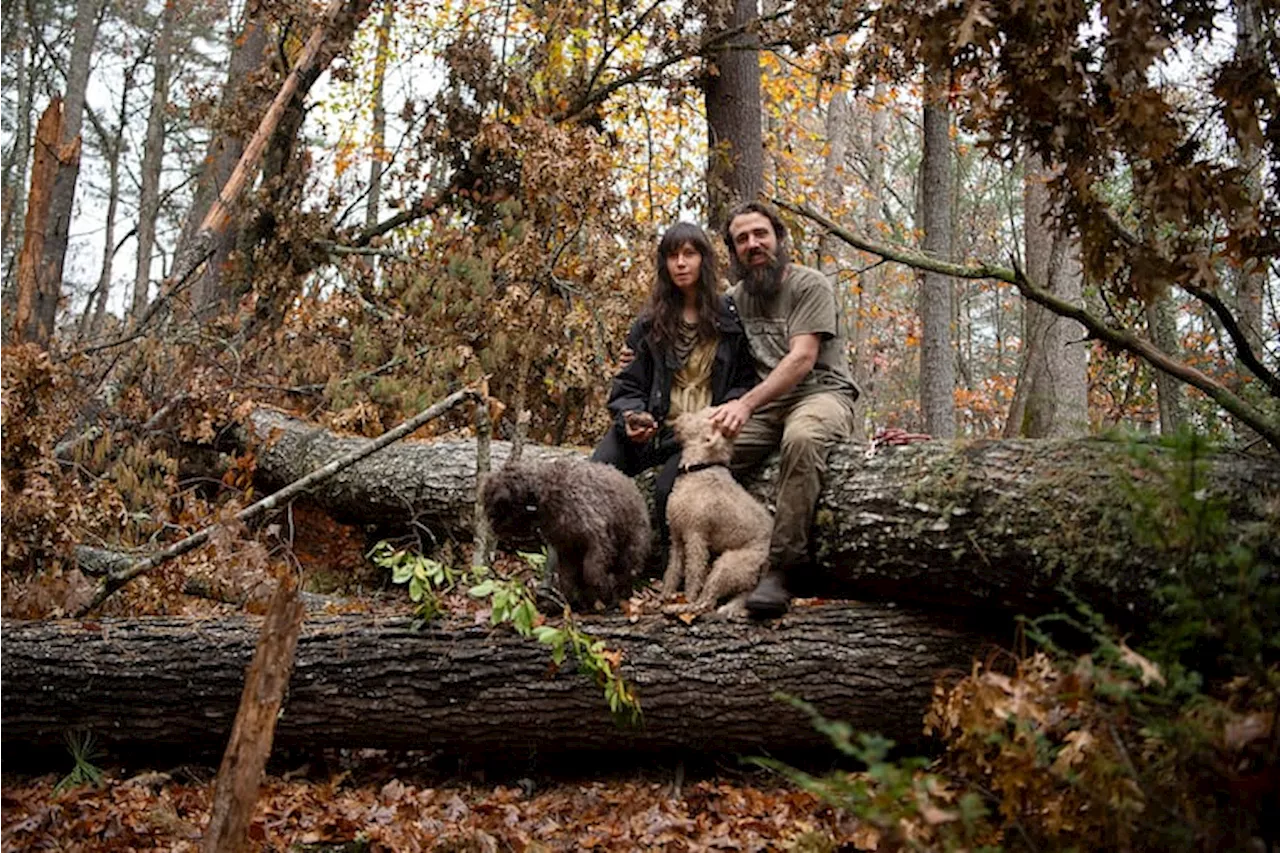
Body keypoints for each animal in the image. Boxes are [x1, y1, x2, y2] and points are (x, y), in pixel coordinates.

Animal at [481, 455, 650, 607]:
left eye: (498, 509)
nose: (491, 528)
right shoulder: (566, 546)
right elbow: (567, 577)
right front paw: (571, 599)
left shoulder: (597, 539)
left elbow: (592, 571)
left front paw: (605, 591)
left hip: (633, 543)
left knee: (629, 568)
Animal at [660, 404, 768, 612]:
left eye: (702, 413)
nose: (678, 414)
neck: (700, 468)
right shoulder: (676, 535)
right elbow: (673, 569)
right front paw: (665, 594)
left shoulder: (696, 535)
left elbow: (693, 573)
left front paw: (687, 598)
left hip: (728, 564)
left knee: (707, 602)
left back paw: (681, 608)